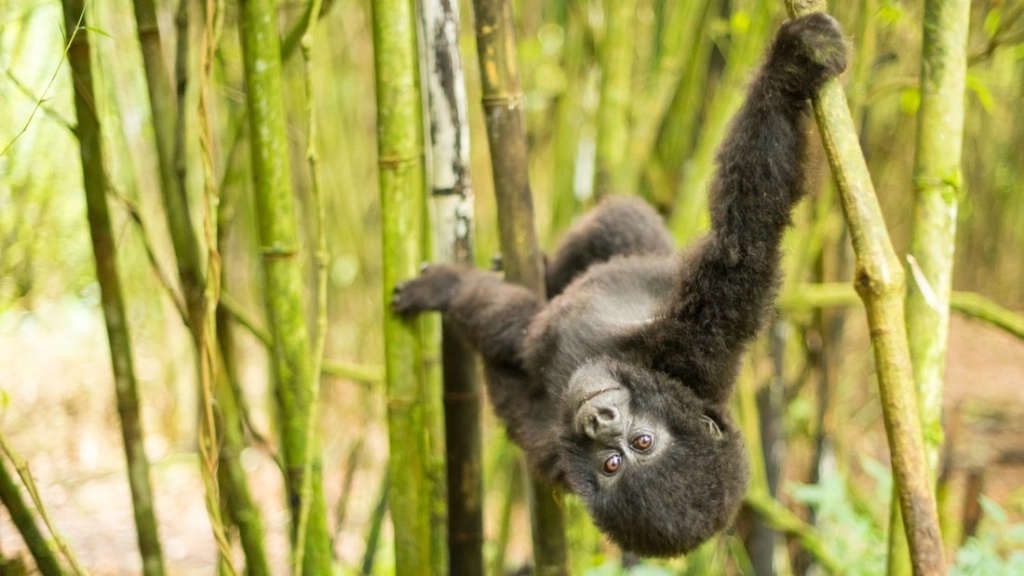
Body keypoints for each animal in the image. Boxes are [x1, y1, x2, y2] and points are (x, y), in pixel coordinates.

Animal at [391, 11, 847, 553]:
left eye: (624, 456)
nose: (599, 422)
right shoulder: (698, 347)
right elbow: (746, 236)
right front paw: (795, 63)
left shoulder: (548, 446)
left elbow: (509, 329)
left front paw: (444, 287)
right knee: (619, 223)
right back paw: (544, 262)